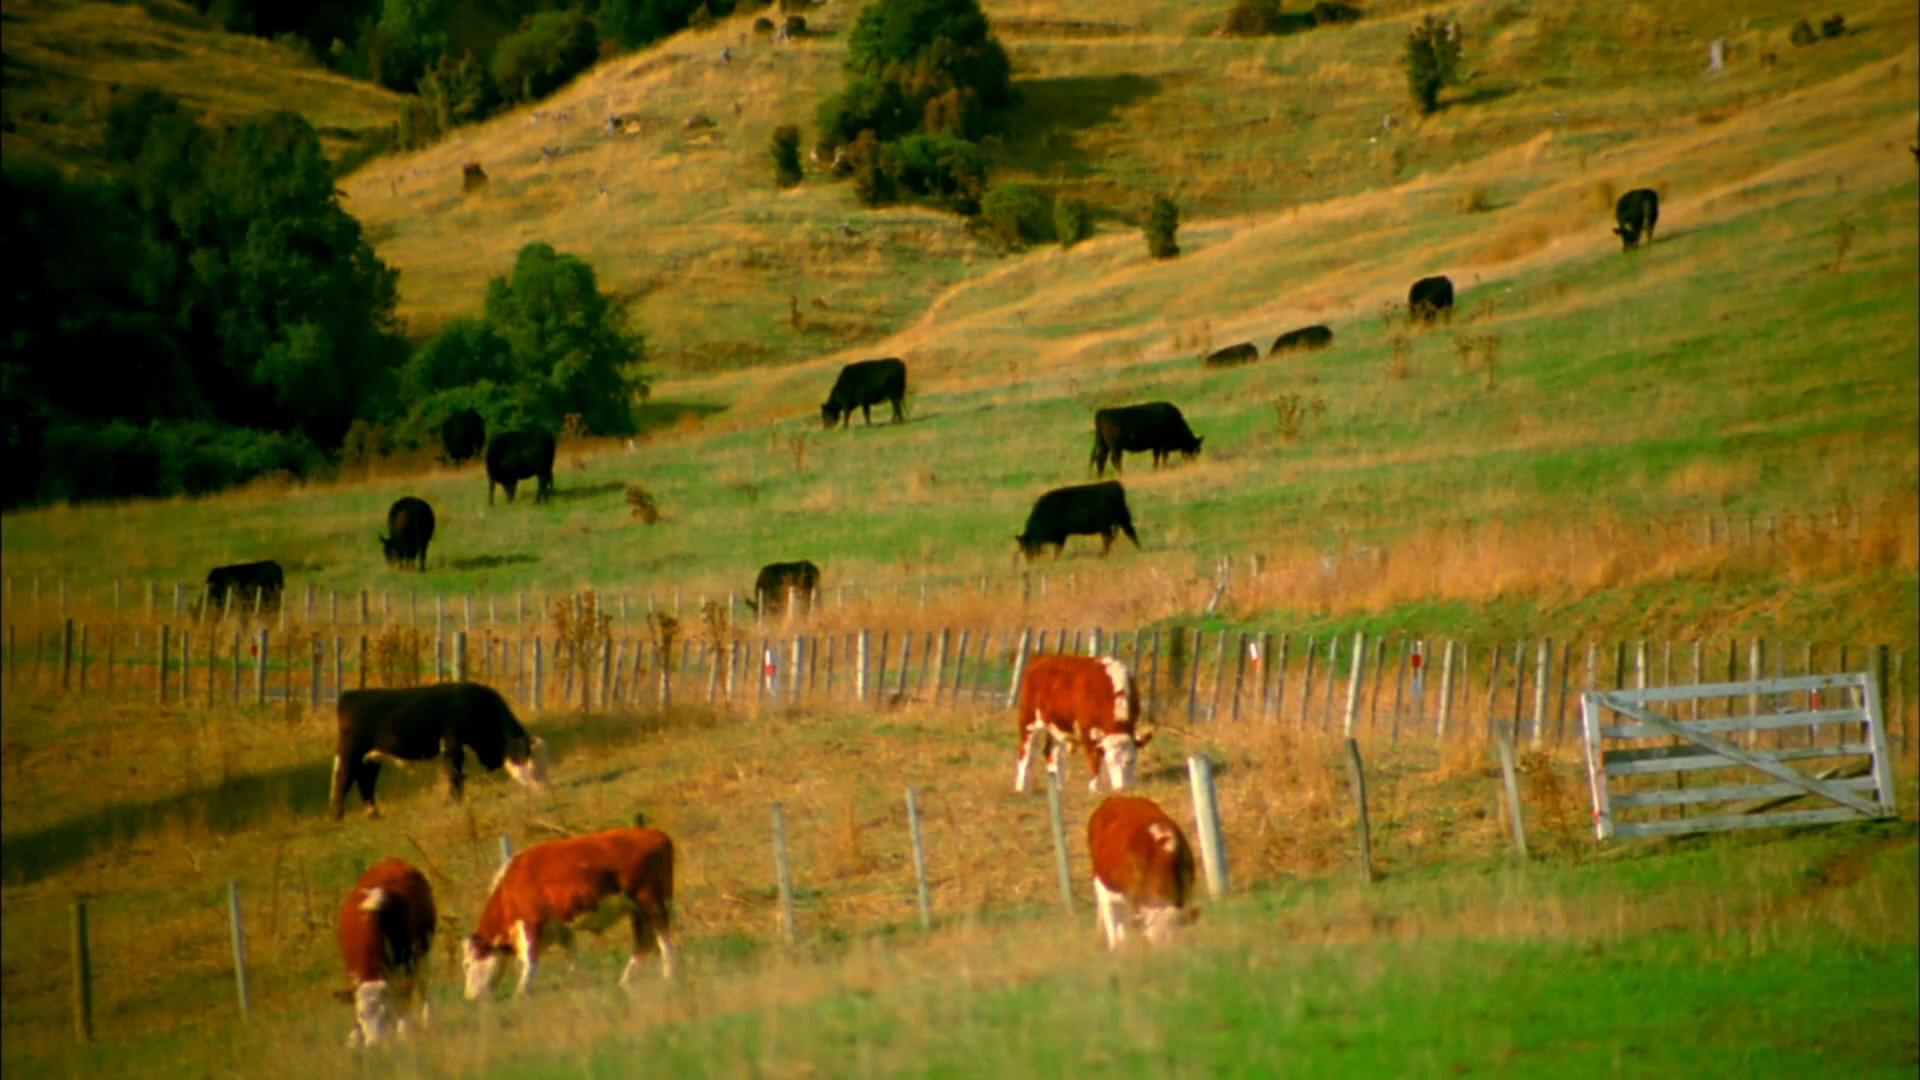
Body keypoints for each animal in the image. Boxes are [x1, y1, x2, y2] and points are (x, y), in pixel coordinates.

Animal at [330, 680, 549, 814]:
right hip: (350, 753)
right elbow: (454, 775)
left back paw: (374, 813)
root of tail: (351, 695)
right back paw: (338, 817)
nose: (544, 788)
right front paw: (454, 802)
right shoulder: (452, 745)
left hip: (371, 757)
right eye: (531, 762)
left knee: (365, 780)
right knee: (343, 780)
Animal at [341, 857, 441, 1045]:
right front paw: (353, 1038)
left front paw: (403, 1032)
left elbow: (404, 994)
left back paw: (428, 1020)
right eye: (361, 1014)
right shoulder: (351, 968)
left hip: (423, 948)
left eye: (385, 1013)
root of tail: (393, 861)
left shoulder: (408, 958)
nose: (374, 1044)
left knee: (423, 983)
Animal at [462, 822, 675, 991]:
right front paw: (580, 982)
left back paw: (670, 974)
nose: (470, 997)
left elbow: (529, 961)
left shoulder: (531, 922)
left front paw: (521, 993)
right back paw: (627, 980)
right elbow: (572, 956)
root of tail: (655, 834)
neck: (509, 887)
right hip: (637, 908)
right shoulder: (560, 929)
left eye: (467, 964)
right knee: (644, 941)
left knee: (663, 936)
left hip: (650, 900)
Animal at [1013, 645, 1144, 791]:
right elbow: (1094, 759)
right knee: (1026, 753)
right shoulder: (1086, 730)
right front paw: (1094, 789)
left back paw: (1059, 787)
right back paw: (1021, 788)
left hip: (1057, 726)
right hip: (1029, 720)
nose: (1122, 788)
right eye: (1110, 762)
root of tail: (1040, 658)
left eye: (1131, 761)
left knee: (1052, 753)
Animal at [1090, 795, 1190, 945]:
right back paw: (1115, 944)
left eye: (1170, 936)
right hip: (1102, 882)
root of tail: (1116, 797)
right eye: (1150, 939)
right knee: (1110, 914)